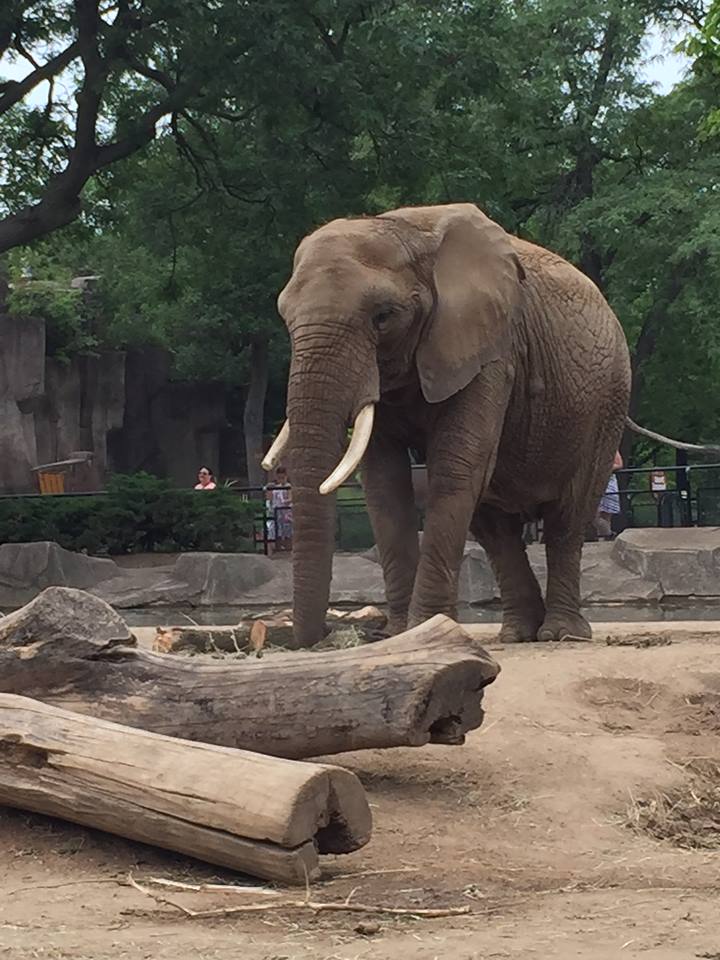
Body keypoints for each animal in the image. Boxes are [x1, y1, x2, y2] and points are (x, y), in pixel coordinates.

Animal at [263, 202, 632, 648]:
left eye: (383, 317)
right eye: (284, 317)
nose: (322, 636)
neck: (400, 228)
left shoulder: (490, 349)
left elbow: (455, 466)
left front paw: (424, 628)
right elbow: (384, 484)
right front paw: (400, 636)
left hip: (606, 404)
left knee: (567, 517)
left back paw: (560, 634)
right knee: (495, 527)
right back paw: (517, 634)